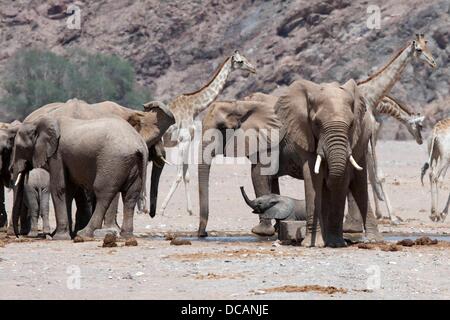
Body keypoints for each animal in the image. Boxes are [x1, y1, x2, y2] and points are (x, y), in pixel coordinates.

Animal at [11, 115, 148, 240]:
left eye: (20, 148)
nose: (18, 236)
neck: (37, 122)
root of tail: (140, 144)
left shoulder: (57, 155)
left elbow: (59, 188)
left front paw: (59, 237)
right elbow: (68, 190)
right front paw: (60, 234)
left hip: (113, 161)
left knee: (103, 193)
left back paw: (84, 233)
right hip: (132, 164)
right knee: (130, 196)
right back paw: (127, 236)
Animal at [160, 50, 255, 215]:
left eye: (245, 58)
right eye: (240, 61)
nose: (253, 69)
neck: (194, 107)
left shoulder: (188, 141)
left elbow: (186, 175)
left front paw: (190, 210)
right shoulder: (183, 140)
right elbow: (178, 175)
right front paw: (162, 208)